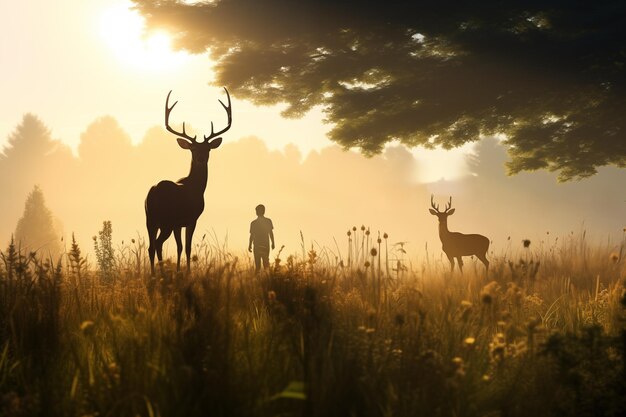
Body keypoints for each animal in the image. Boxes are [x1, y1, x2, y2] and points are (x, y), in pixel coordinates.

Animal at [144, 89, 232, 274]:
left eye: (207, 148)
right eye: (193, 148)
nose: (200, 158)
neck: (196, 187)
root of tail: (152, 195)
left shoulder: (179, 223)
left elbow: (179, 247)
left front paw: (179, 271)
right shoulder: (192, 219)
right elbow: (188, 248)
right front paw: (188, 272)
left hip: (150, 219)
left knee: (151, 246)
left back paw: (154, 275)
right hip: (166, 220)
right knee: (157, 244)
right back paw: (161, 273)